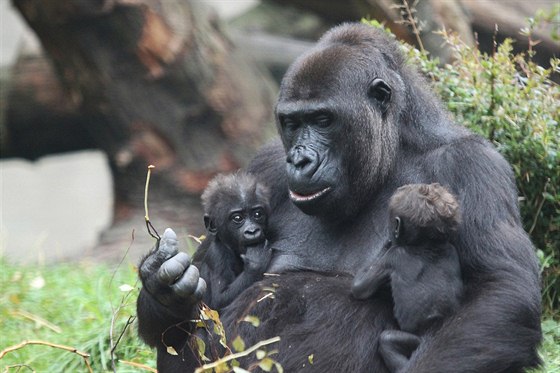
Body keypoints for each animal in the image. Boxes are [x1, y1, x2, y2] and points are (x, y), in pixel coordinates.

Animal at [194, 171, 272, 308]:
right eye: (237, 218)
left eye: (257, 214)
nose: (252, 231)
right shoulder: (218, 255)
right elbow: (220, 298)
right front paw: (256, 263)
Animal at [352, 182, 462, 370]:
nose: (390, 234)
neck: (426, 244)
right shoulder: (451, 250)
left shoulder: (393, 256)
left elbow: (360, 287)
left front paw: (386, 244)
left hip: (418, 341)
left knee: (388, 341)